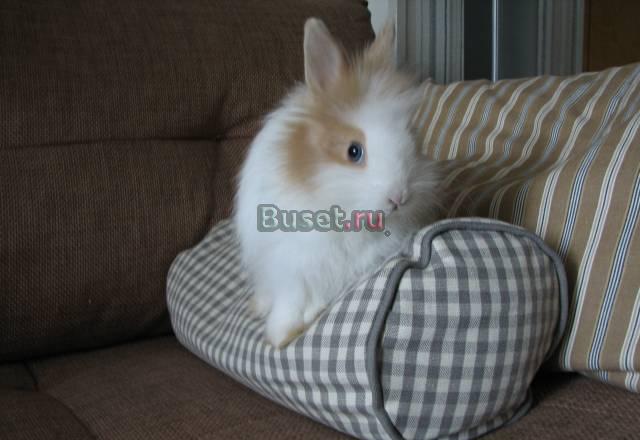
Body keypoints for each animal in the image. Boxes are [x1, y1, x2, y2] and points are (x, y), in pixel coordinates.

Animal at [233, 18, 442, 348]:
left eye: (411, 138)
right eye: (353, 151)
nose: (398, 197)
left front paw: (308, 317)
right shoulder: (294, 265)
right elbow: (291, 300)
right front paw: (281, 335)